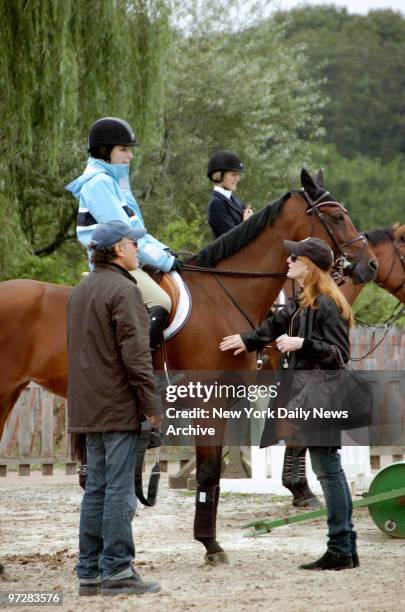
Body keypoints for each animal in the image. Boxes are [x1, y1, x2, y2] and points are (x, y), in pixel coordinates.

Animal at [0, 170, 376, 560]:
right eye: (337, 216)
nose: (370, 264)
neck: (223, 294)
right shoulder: (209, 403)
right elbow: (209, 471)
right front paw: (211, 544)